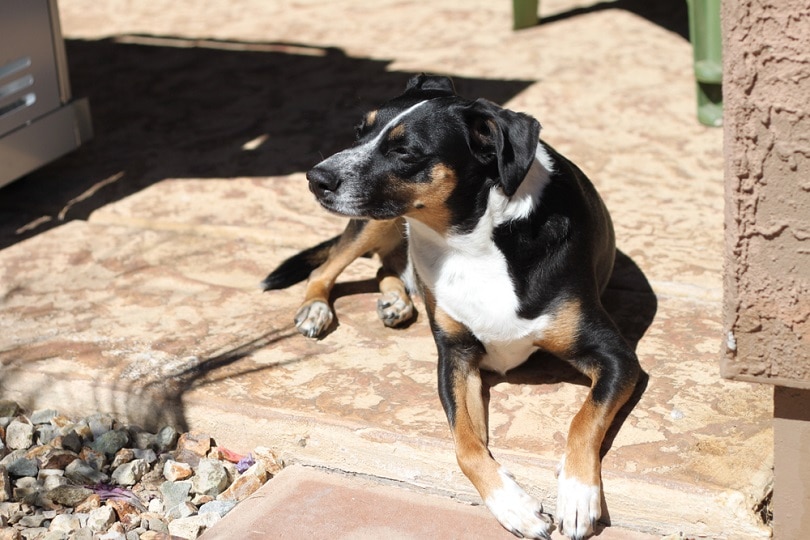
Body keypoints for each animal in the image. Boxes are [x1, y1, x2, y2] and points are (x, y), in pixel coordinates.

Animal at [262, 76, 640, 540]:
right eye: (359, 131)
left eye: (405, 151)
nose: (315, 178)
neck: (470, 242)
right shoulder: (456, 358)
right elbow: (465, 444)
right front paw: (513, 506)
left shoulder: (617, 358)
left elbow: (583, 419)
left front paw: (577, 494)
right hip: (372, 221)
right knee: (334, 264)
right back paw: (319, 307)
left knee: (387, 263)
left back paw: (395, 298)